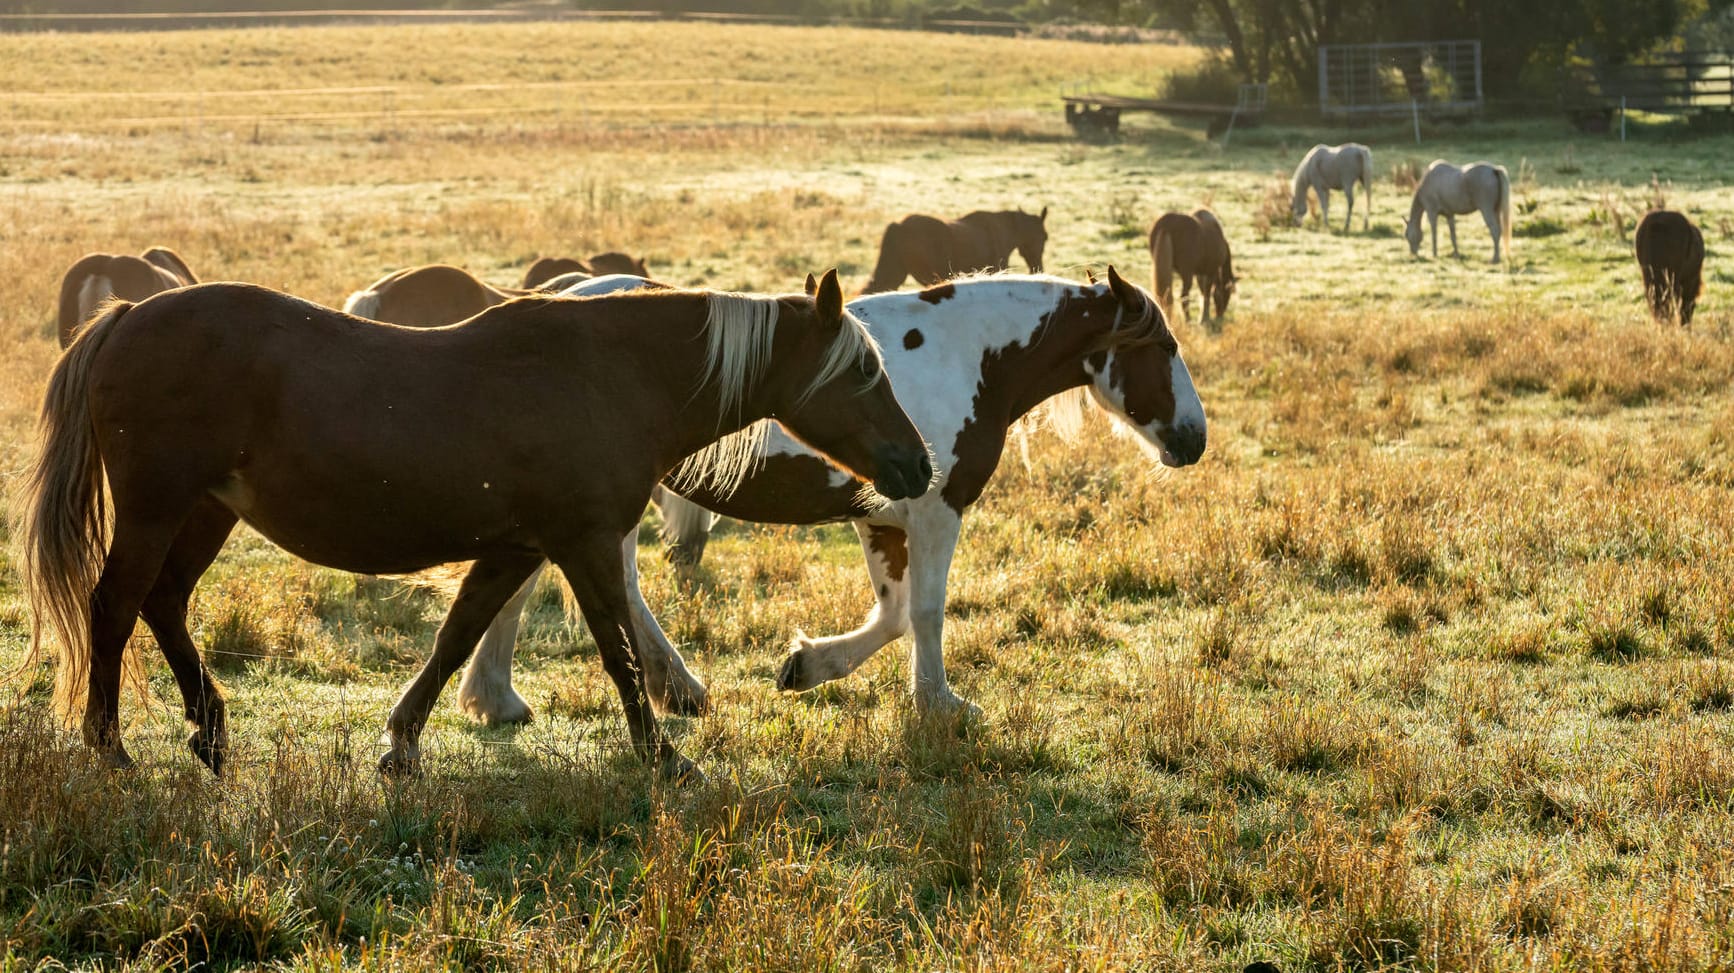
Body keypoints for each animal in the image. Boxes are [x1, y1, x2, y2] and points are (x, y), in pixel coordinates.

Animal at [16, 270, 936, 780]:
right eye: (862, 370)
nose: (917, 465)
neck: (612, 374)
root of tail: (130, 315)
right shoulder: (583, 544)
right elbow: (618, 651)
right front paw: (665, 757)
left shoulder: (514, 550)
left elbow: (455, 639)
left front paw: (401, 746)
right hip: (156, 505)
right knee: (115, 606)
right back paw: (111, 746)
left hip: (204, 510)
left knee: (163, 603)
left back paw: (209, 732)